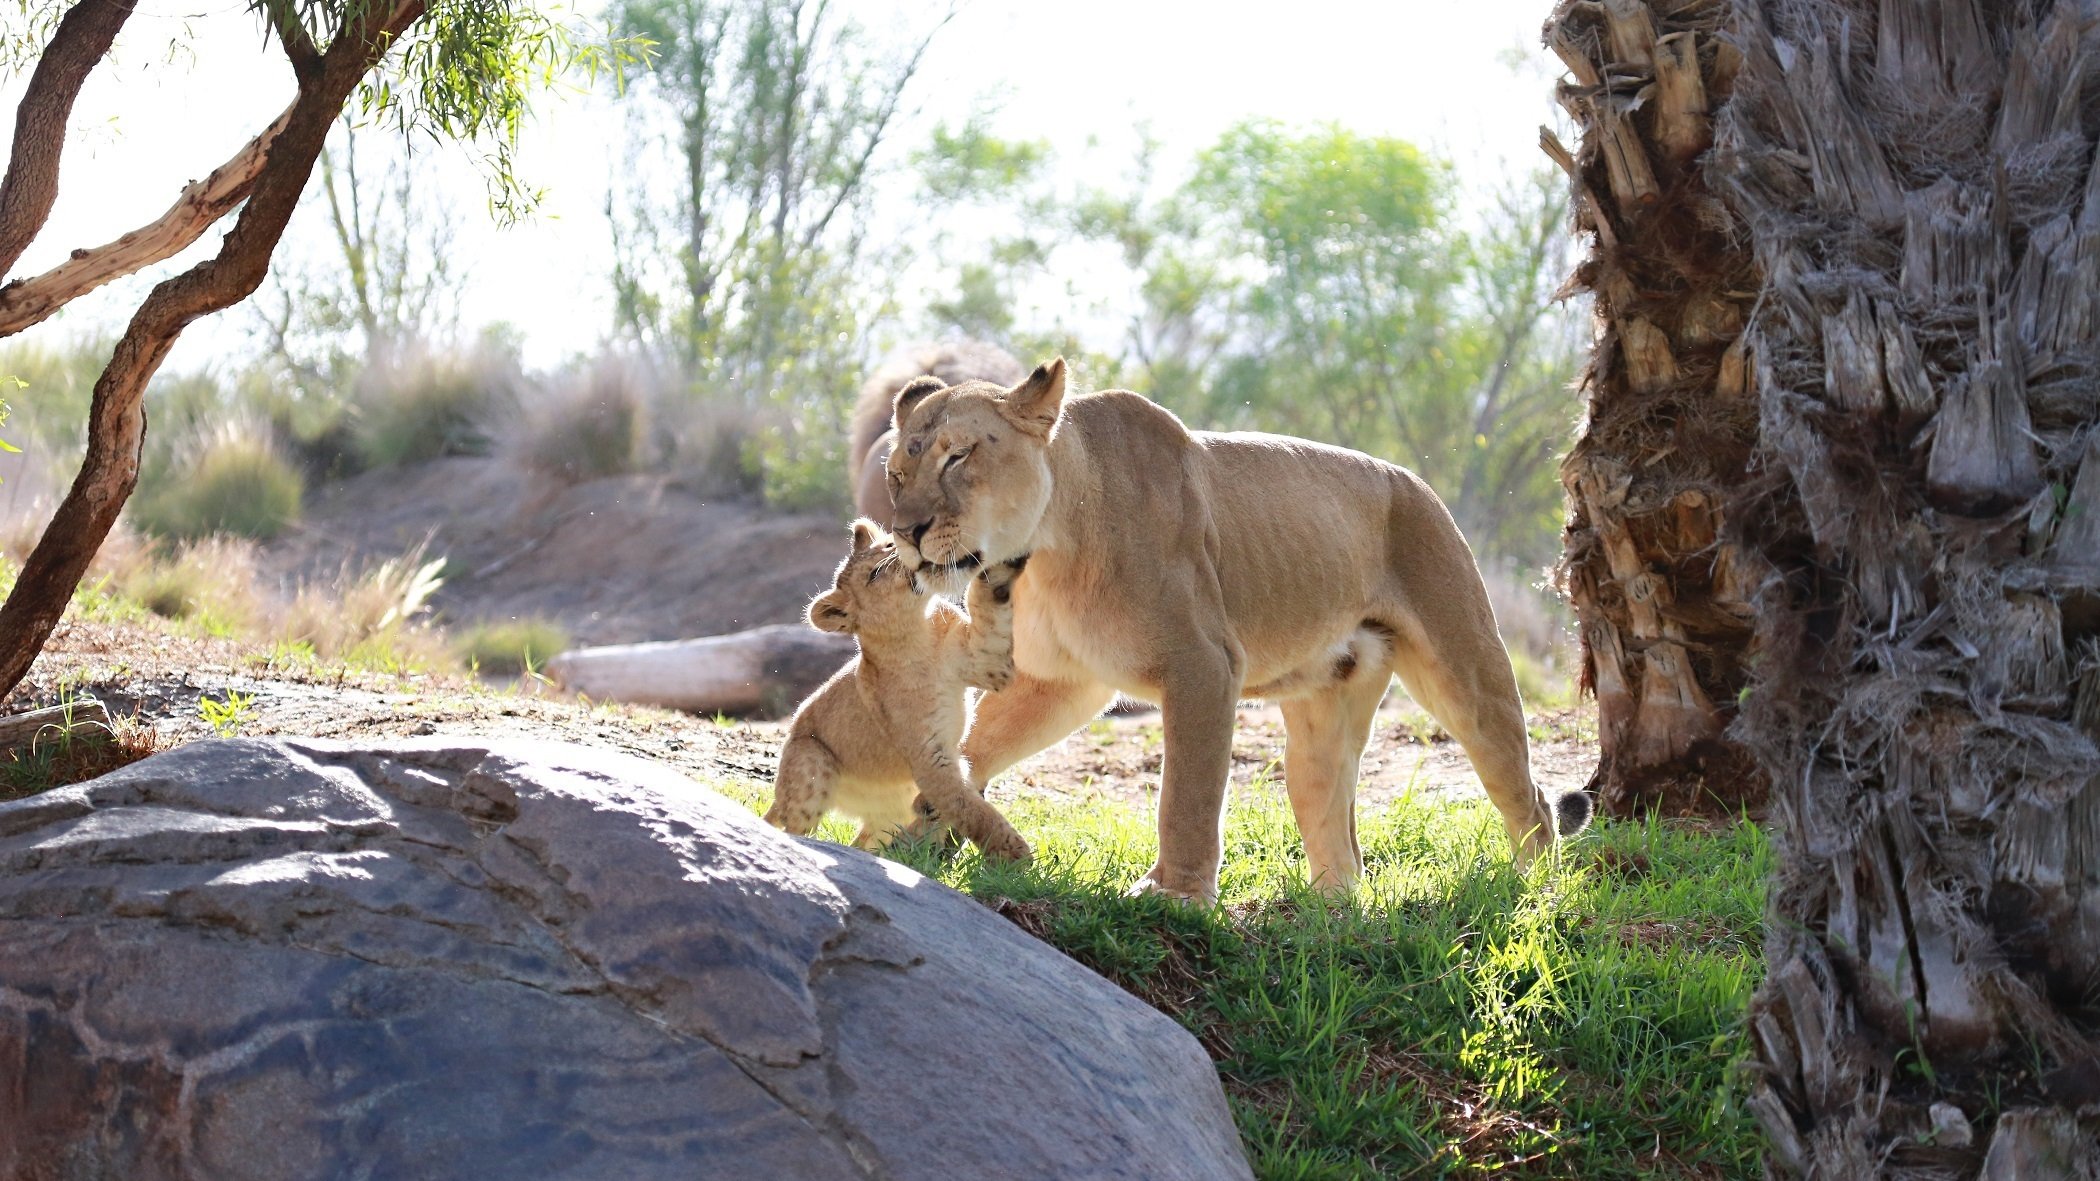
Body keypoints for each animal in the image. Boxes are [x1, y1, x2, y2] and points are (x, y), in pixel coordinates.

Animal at [764, 515, 1032, 862]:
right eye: (875, 574)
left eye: (890, 545)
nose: (908, 552)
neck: (921, 636)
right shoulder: (929, 758)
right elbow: (970, 809)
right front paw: (1015, 854)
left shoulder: (984, 659)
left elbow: (991, 604)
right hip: (811, 765)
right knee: (794, 826)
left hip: (889, 816)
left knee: (865, 841)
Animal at [882, 358, 1590, 901]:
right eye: (896, 474)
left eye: (957, 458)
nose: (907, 534)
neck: (1045, 552)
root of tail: (1416, 481)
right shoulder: (1061, 681)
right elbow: (974, 745)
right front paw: (917, 826)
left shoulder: (1202, 663)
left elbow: (1187, 795)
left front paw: (1175, 896)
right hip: (1325, 709)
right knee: (1335, 828)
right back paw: (1328, 918)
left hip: (1469, 668)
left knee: (1525, 793)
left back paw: (1536, 893)